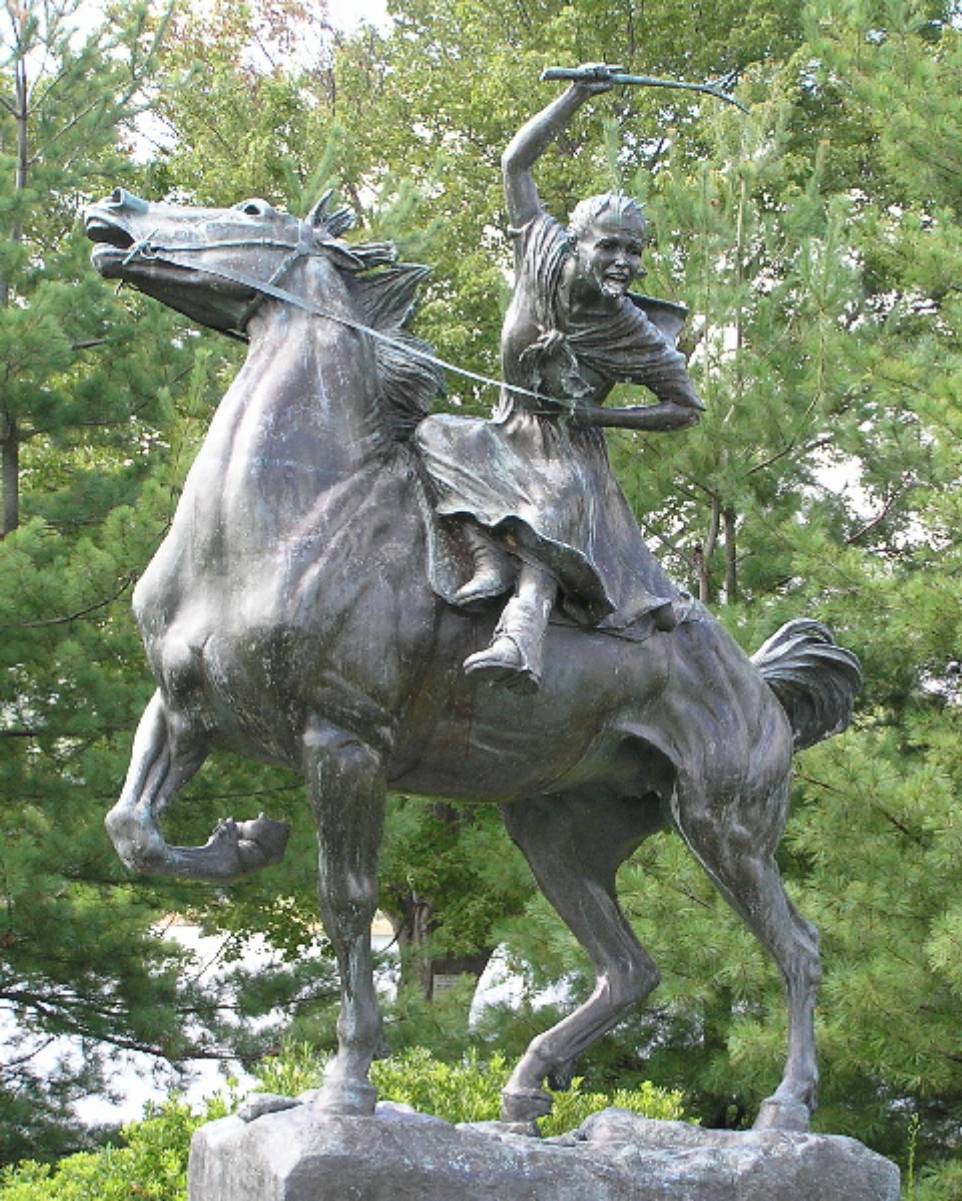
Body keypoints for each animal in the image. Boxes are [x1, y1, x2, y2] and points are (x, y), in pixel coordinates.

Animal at [86, 187, 859, 1133]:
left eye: (253, 209)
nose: (114, 210)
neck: (294, 512)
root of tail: (763, 688)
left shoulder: (343, 742)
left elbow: (347, 900)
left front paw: (347, 1084)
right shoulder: (184, 710)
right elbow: (132, 830)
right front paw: (247, 842)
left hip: (726, 825)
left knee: (798, 948)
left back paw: (786, 1107)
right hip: (557, 832)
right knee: (631, 968)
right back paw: (525, 1089)